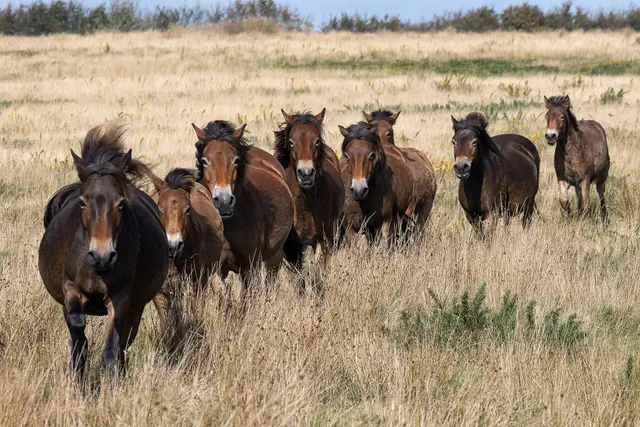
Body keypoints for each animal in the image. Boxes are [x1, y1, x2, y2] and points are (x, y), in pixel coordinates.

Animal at [37, 125, 168, 380]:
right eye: (83, 202)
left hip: (137, 307)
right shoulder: (70, 289)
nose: (102, 256)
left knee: (125, 343)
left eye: (120, 203)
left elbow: (113, 348)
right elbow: (78, 335)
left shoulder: (121, 297)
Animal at [191, 118, 294, 302]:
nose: (224, 201)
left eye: (235, 160)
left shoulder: (250, 267)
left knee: (270, 284)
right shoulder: (215, 268)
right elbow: (222, 293)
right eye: (204, 161)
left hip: (274, 257)